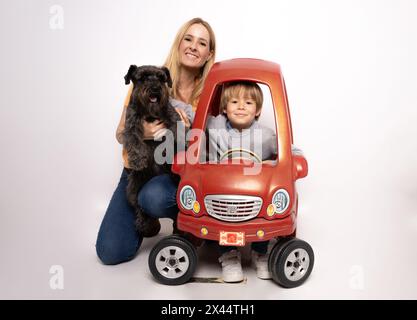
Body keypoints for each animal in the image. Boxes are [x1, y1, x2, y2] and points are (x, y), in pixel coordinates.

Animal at [123, 65, 182, 238]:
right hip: (133, 188)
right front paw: (138, 160)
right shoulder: (131, 124)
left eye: (161, 78)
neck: (150, 112)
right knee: (140, 207)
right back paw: (146, 226)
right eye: (142, 77)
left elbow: (177, 131)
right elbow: (134, 141)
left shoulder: (171, 115)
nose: (155, 88)